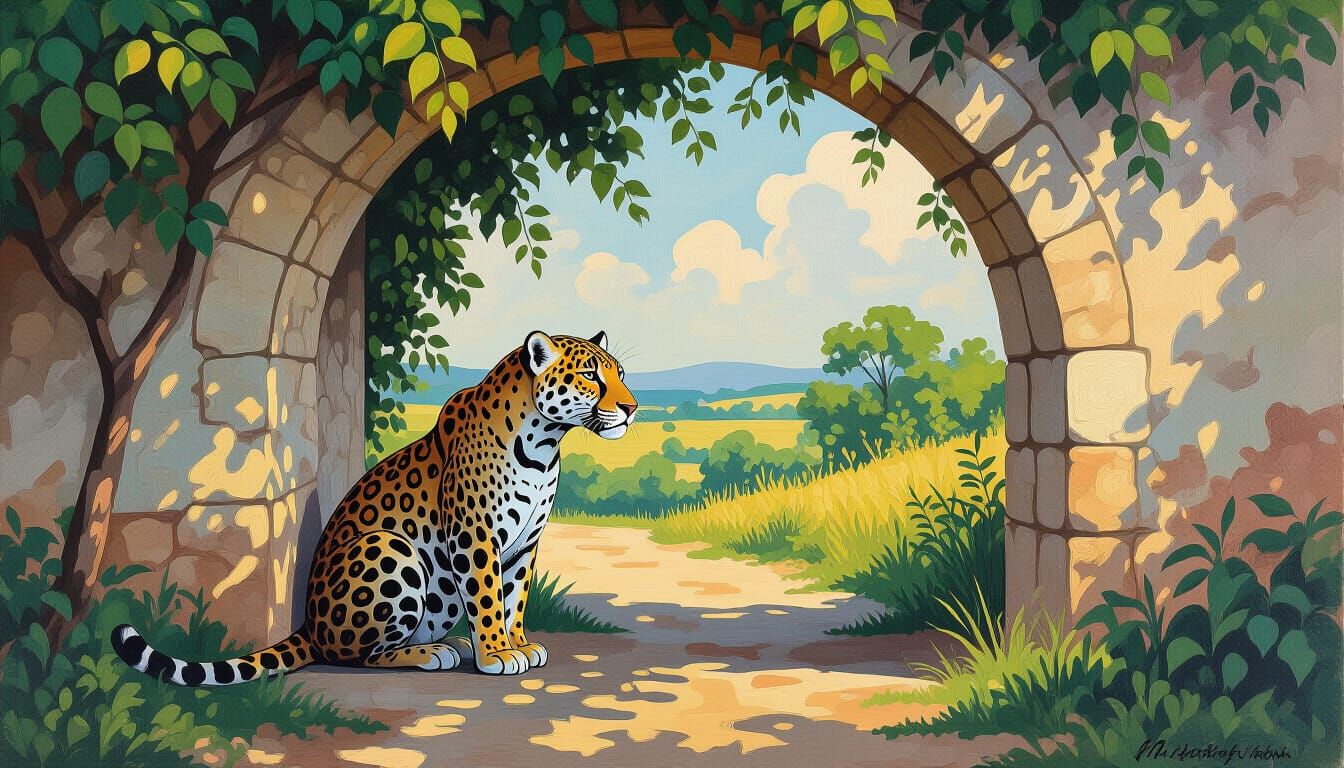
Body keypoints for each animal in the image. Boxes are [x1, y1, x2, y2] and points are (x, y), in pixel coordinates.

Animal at [112, 330, 637, 684]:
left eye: (621, 374)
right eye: (590, 375)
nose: (632, 409)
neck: (544, 443)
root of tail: (309, 625)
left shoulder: (526, 541)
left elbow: (515, 597)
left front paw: (519, 644)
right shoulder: (475, 533)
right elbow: (488, 596)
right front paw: (496, 655)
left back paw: (443, 643)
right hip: (390, 549)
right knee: (352, 655)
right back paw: (432, 654)